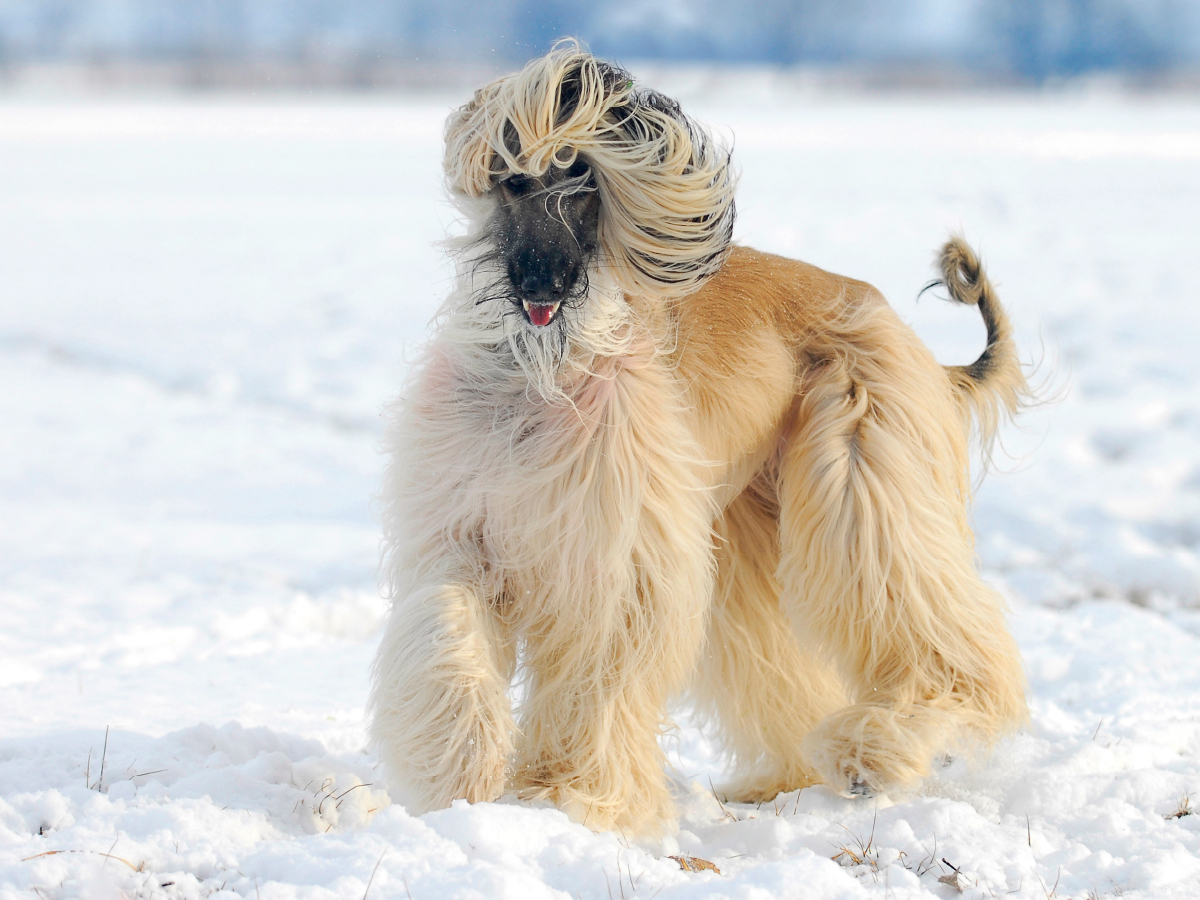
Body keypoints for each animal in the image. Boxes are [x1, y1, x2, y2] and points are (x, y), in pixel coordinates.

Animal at [367, 44, 1032, 840]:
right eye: (517, 179)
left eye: (583, 182)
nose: (543, 285)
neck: (541, 375)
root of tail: (897, 326)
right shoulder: (468, 527)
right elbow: (447, 624)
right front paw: (462, 770)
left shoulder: (614, 553)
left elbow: (599, 668)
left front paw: (566, 795)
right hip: (746, 518)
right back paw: (786, 778)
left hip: (858, 462)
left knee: (925, 615)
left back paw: (875, 749)